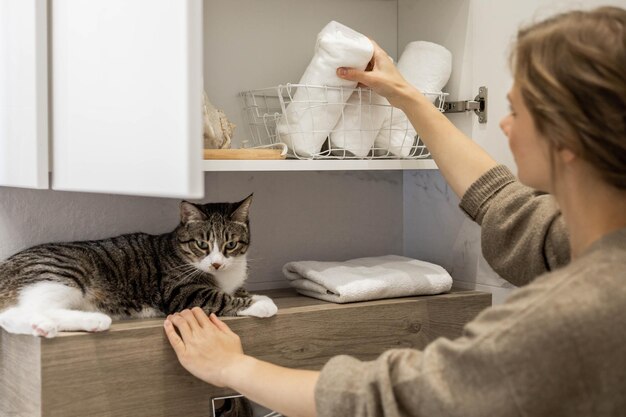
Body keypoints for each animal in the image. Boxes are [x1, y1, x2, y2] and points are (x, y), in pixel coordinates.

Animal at [0, 195, 276, 338]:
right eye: (201, 244)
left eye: (231, 244)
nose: (217, 263)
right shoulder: (181, 292)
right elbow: (221, 298)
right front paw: (261, 304)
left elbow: (237, 291)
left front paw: (258, 295)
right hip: (61, 273)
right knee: (27, 309)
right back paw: (58, 324)